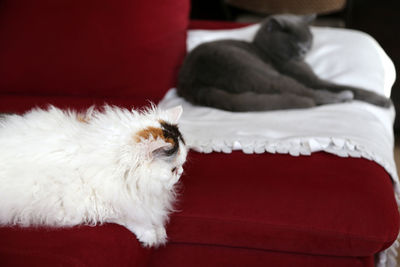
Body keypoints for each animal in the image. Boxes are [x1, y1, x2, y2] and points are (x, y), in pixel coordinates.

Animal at [0, 104, 188, 247]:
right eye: (173, 169)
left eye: (182, 165)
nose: (181, 172)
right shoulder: (97, 205)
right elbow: (133, 218)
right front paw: (151, 234)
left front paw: (160, 231)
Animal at [177, 13, 390, 112]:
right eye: (294, 41)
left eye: (308, 39)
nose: (304, 50)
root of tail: (192, 83)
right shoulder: (309, 78)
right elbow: (352, 87)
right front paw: (384, 101)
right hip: (257, 71)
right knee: (309, 94)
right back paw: (344, 96)